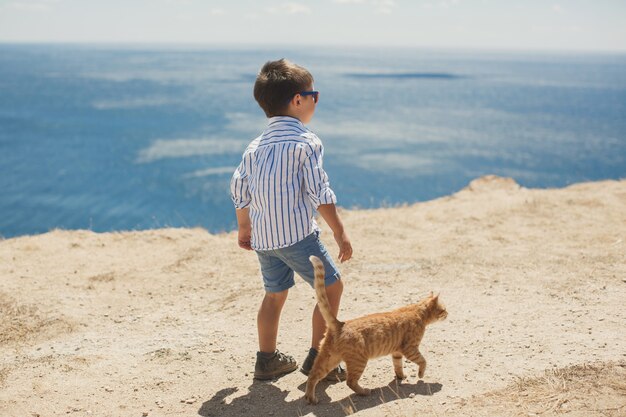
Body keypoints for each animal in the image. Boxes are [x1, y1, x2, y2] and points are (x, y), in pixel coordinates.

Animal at [304, 254, 446, 404]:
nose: (448, 313)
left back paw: (311, 398)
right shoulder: (410, 349)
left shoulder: (397, 351)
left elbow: (398, 365)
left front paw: (401, 377)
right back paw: (365, 392)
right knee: (350, 381)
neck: (418, 311)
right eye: (444, 309)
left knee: (313, 375)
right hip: (358, 360)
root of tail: (340, 324)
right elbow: (423, 360)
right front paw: (420, 375)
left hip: (329, 359)